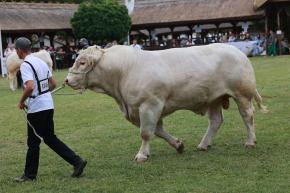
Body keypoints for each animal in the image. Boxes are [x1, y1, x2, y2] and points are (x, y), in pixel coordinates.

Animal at [65, 44, 268, 163]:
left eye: (82, 62)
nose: (67, 80)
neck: (123, 72)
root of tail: (237, 50)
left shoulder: (150, 105)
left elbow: (146, 133)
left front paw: (142, 155)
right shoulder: (144, 110)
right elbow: (158, 131)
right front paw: (178, 145)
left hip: (242, 93)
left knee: (247, 116)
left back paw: (250, 141)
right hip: (213, 98)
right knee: (216, 121)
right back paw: (203, 144)